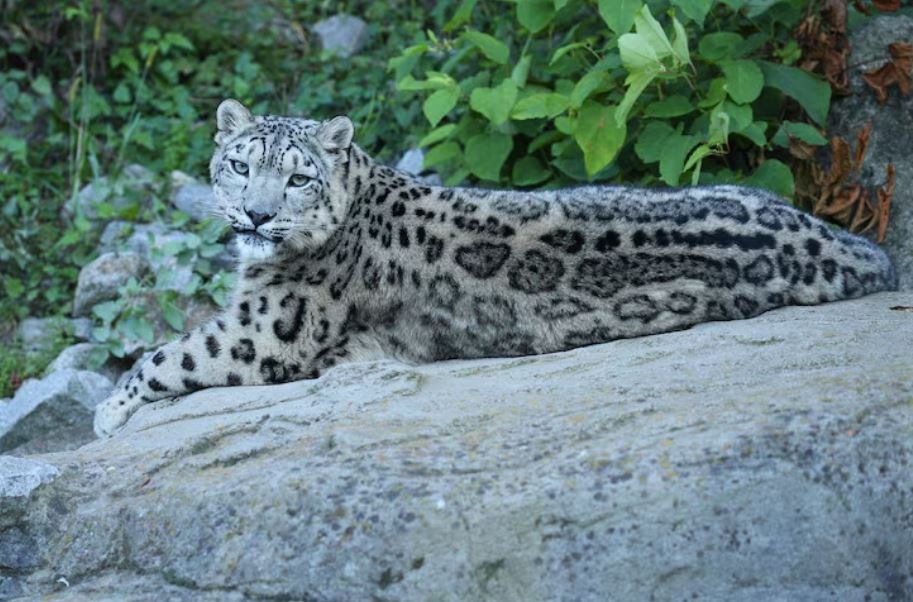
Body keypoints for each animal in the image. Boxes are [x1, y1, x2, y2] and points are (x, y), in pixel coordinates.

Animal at [93, 99, 898, 436]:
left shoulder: (266, 330)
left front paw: (107, 409)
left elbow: (170, 354)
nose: (258, 216)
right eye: (239, 165)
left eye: (297, 179)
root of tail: (851, 244)